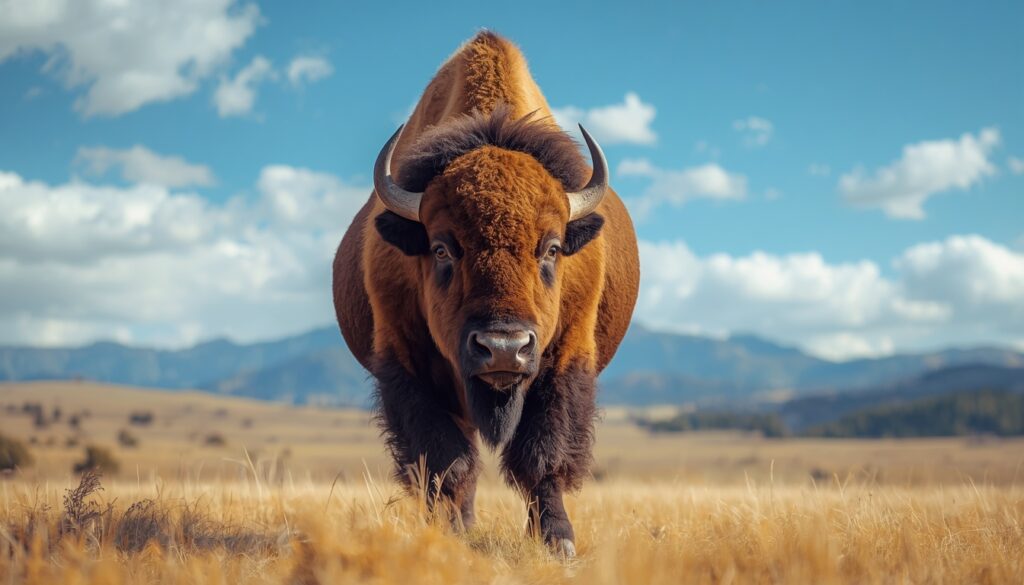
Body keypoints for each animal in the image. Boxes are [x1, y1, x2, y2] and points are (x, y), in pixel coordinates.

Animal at [333, 32, 639, 556]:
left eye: (551, 247)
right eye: (441, 248)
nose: (503, 349)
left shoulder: (565, 357)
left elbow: (543, 454)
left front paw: (557, 540)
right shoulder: (408, 365)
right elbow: (444, 460)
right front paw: (450, 533)